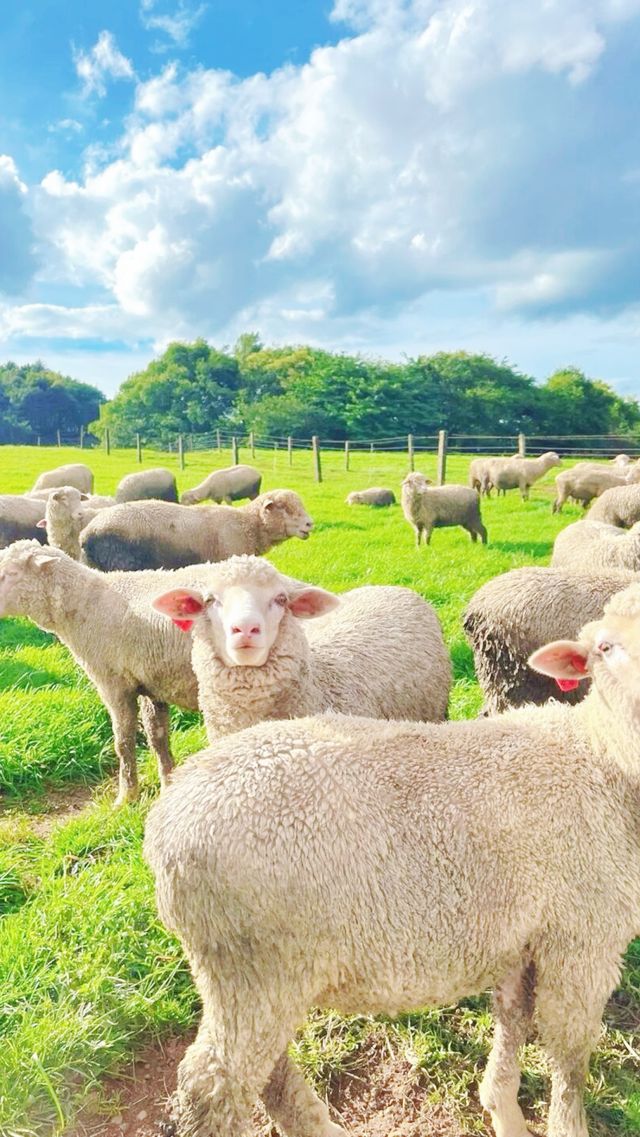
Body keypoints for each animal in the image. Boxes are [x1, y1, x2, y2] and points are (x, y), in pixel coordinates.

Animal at [0, 538, 244, 800]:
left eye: (10, 573)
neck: (83, 605)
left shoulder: (114, 684)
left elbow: (123, 741)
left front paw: (127, 795)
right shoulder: (153, 684)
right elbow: (157, 737)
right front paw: (167, 783)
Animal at [143, 586, 640, 1137]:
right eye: (605, 648)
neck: (603, 755)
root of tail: (166, 820)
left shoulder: (530, 940)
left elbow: (514, 1019)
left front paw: (502, 1108)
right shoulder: (584, 941)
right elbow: (571, 1059)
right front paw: (561, 1123)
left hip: (246, 973)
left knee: (270, 1074)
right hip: (253, 967)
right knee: (212, 1087)